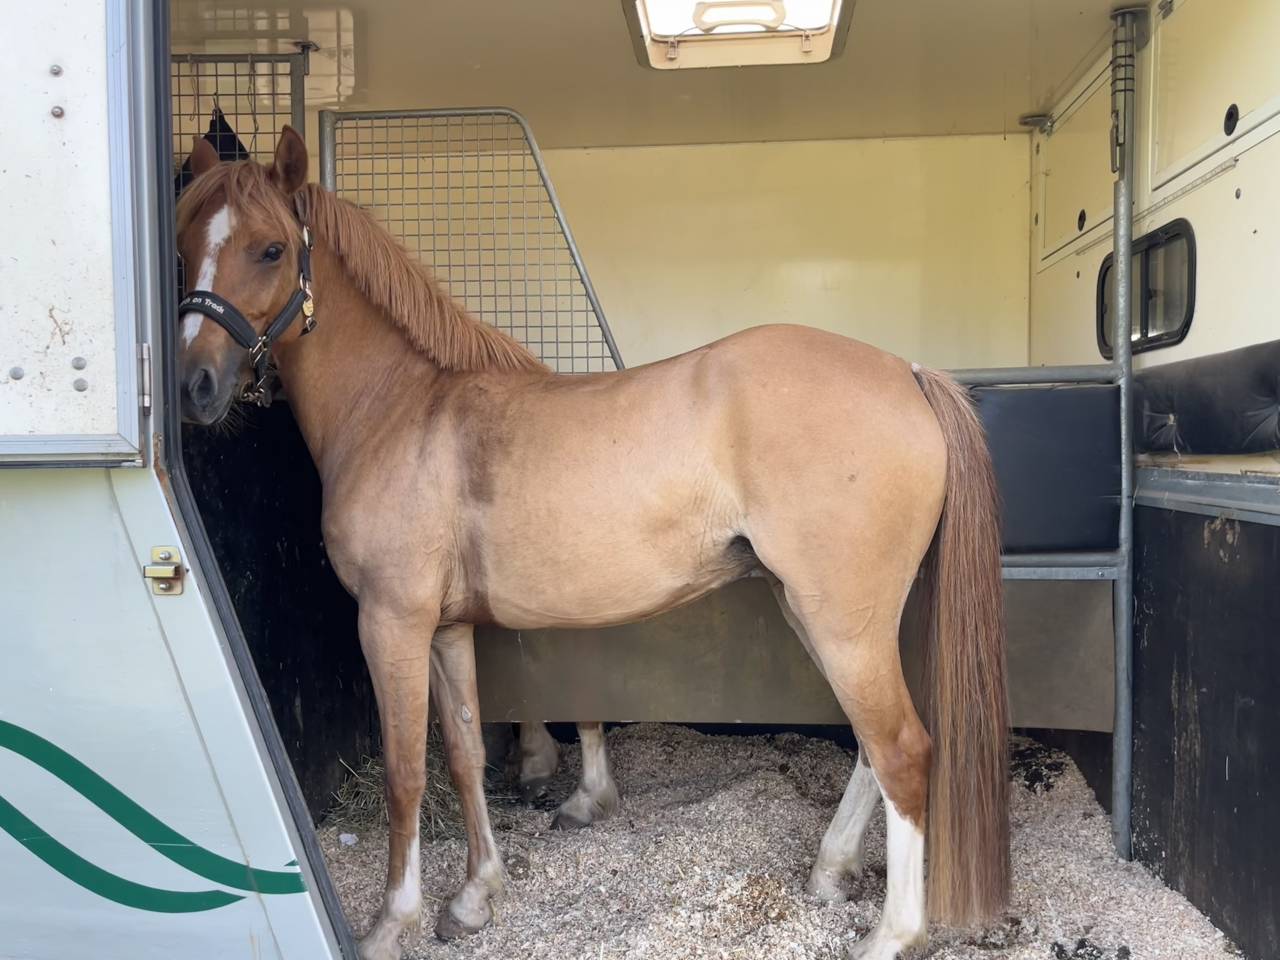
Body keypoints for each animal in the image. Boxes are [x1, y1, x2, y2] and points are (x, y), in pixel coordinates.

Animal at [175, 127, 1009, 960]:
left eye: (271, 249)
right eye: (184, 244)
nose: (194, 385)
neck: (400, 411)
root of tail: (907, 373)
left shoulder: (390, 622)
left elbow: (405, 770)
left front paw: (391, 923)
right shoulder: (445, 628)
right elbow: (465, 755)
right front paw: (476, 896)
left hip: (842, 622)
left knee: (902, 750)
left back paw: (892, 934)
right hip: (822, 614)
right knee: (873, 747)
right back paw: (831, 871)